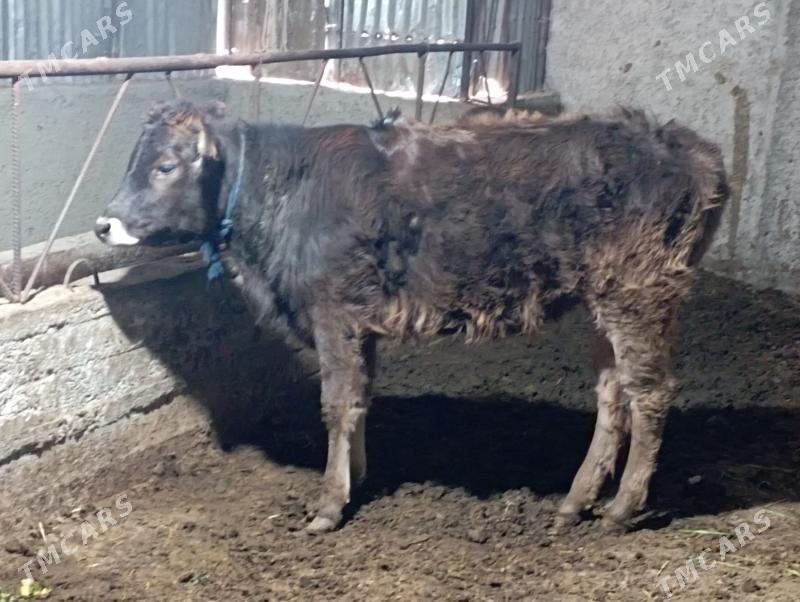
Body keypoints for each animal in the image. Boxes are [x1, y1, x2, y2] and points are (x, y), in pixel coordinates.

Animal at [95, 100, 728, 534]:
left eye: (166, 165)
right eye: (133, 161)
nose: (104, 224)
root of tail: (681, 143)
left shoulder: (334, 313)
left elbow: (335, 406)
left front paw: (328, 505)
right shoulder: (359, 319)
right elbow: (359, 402)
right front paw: (357, 477)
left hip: (640, 292)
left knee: (650, 393)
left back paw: (623, 507)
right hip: (604, 301)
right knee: (612, 394)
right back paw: (576, 500)